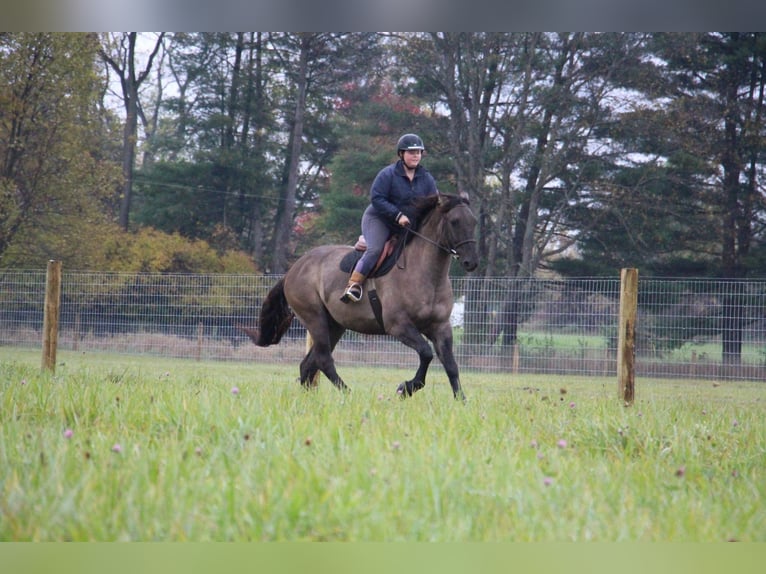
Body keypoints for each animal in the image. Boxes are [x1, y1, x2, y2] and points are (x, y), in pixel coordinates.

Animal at [248, 194, 480, 400]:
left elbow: (451, 365)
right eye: (455, 222)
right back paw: (349, 394)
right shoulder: (398, 326)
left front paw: (462, 401)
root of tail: (293, 269)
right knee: (323, 360)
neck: (425, 274)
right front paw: (406, 388)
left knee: (309, 363)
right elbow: (426, 353)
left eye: (474, 221)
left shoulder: (440, 327)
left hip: (334, 325)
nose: (472, 262)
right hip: (315, 319)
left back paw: (308, 400)